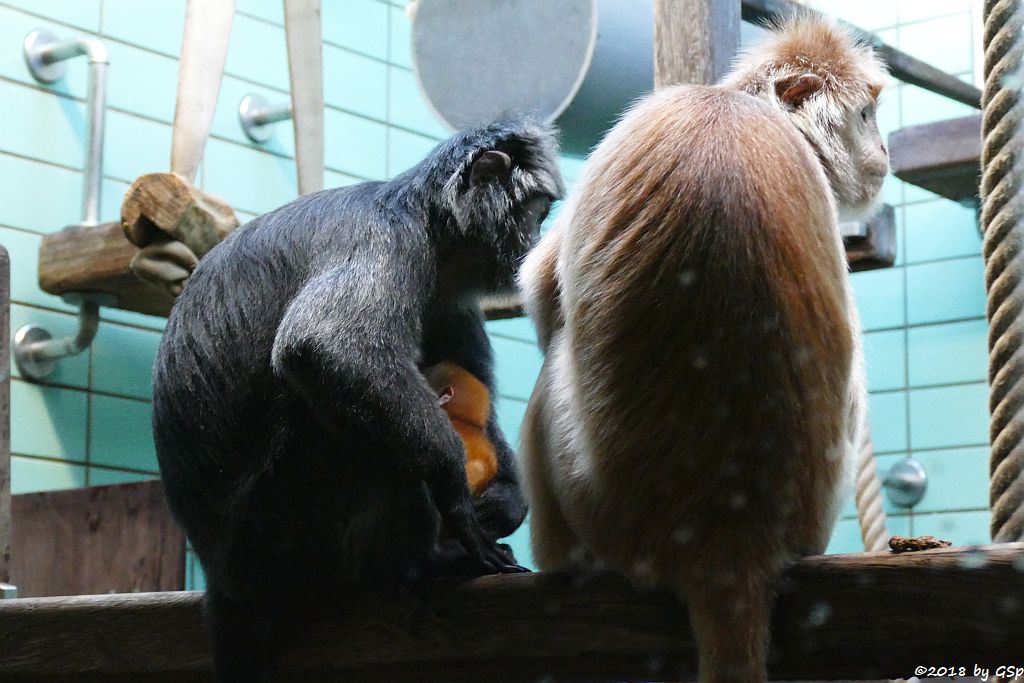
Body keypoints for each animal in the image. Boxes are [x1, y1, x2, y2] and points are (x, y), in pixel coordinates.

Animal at [153, 118, 561, 683]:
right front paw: (458, 501)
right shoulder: (389, 241)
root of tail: (226, 579)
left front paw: (504, 502)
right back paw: (419, 565)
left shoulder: (444, 291)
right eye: (534, 213)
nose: (535, 240)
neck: (425, 221)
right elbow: (325, 347)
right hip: (283, 532)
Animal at [520, 15, 888, 683]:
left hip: (593, 508)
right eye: (866, 117)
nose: (884, 151)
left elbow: (540, 288)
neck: (746, 105)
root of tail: (729, 545)